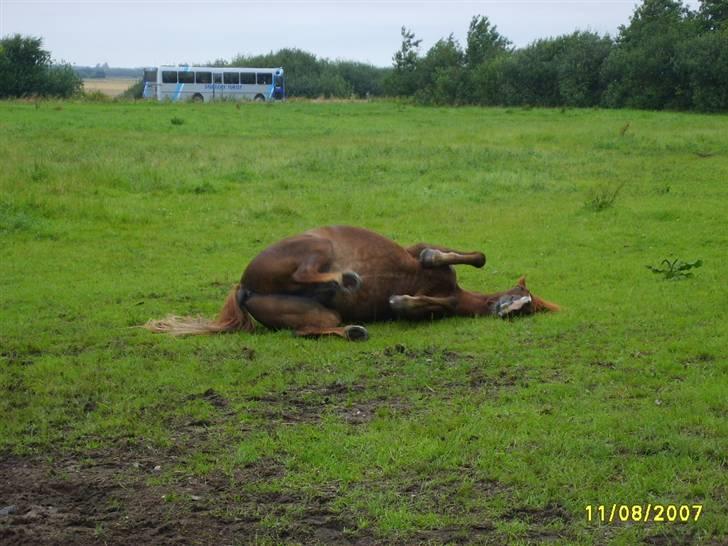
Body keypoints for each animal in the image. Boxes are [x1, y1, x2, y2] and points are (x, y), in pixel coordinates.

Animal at [146, 223, 556, 338]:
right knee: (306, 273)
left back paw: (352, 326)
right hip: (318, 245)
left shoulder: (441, 303)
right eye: (521, 294)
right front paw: (430, 262)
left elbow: (421, 306)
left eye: (527, 309)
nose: (507, 309)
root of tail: (245, 287)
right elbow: (466, 256)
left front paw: (403, 300)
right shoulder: (419, 247)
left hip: (317, 314)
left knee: (310, 330)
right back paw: (344, 277)